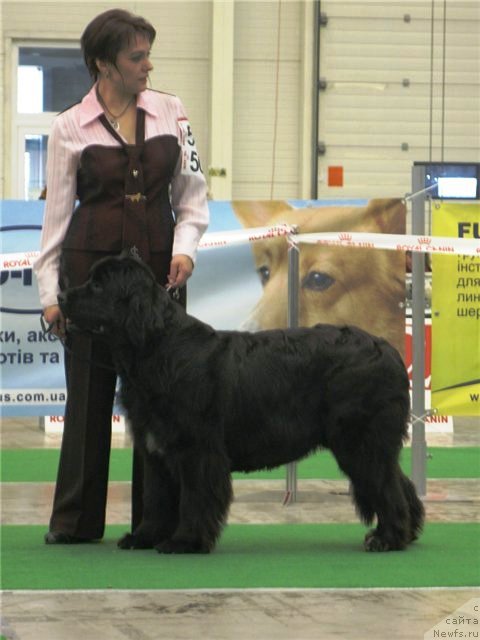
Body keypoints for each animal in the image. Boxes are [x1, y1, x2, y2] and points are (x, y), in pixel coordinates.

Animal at [59, 252, 424, 552]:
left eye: (98, 286)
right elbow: (156, 497)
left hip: (358, 439)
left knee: (386, 485)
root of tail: (387, 349)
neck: (157, 347)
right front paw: (144, 537)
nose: (61, 296)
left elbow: (194, 497)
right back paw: (408, 533)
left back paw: (387, 538)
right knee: (398, 481)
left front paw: (185, 541)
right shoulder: (156, 449)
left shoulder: (197, 448)